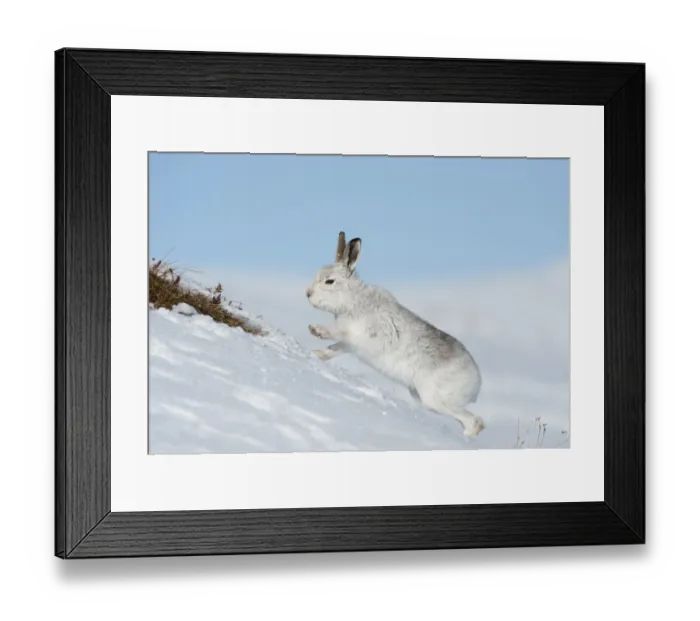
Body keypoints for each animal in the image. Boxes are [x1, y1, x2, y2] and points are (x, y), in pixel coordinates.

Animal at [305, 231, 485, 438]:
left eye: (329, 281)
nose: (307, 293)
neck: (353, 301)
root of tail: (476, 382)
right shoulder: (350, 345)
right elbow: (333, 350)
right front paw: (315, 354)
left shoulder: (358, 336)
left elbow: (337, 335)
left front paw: (316, 330)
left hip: (434, 397)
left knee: (474, 421)